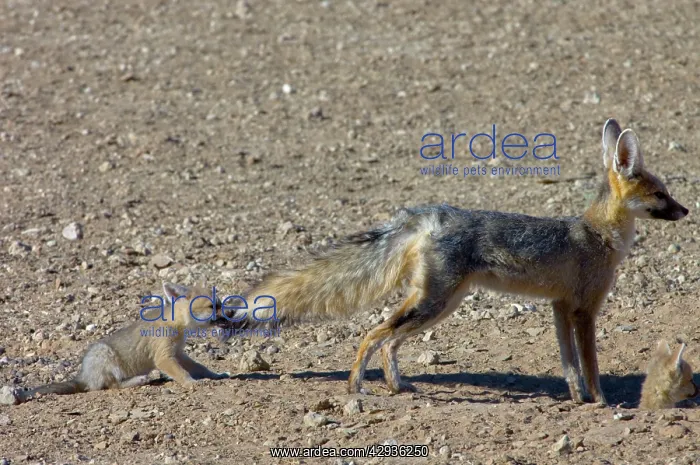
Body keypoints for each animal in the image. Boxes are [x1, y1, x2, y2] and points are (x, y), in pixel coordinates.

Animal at [3, 283, 230, 404]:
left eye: (220, 304)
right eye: (213, 306)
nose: (229, 314)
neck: (177, 324)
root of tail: (83, 376)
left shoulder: (179, 354)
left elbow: (200, 366)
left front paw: (216, 375)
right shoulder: (164, 358)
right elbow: (182, 373)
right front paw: (193, 383)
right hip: (107, 357)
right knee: (111, 386)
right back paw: (140, 380)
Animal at [221, 118, 688, 405]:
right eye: (661, 194)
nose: (685, 211)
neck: (598, 234)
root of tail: (430, 214)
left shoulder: (559, 307)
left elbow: (569, 365)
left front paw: (577, 400)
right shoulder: (584, 310)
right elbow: (590, 365)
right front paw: (602, 403)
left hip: (441, 305)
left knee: (389, 342)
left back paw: (397, 386)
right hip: (434, 303)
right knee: (373, 335)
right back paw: (356, 386)